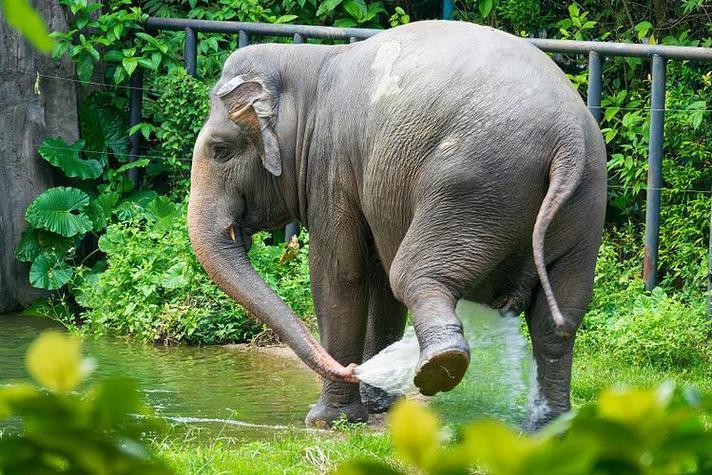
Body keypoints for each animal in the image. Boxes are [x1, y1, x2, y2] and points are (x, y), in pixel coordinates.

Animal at [187, 20, 606, 427]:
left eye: (220, 150)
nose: (350, 369)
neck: (309, 62)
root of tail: (569, 136)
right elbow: (377, 284)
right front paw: (377, 407)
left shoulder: (331, 165)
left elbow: (340, 276)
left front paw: (327, 421)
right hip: (584, 205)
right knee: (558, 319)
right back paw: (549, 426)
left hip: (473, 186)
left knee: (411, 275)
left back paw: (440, 366)